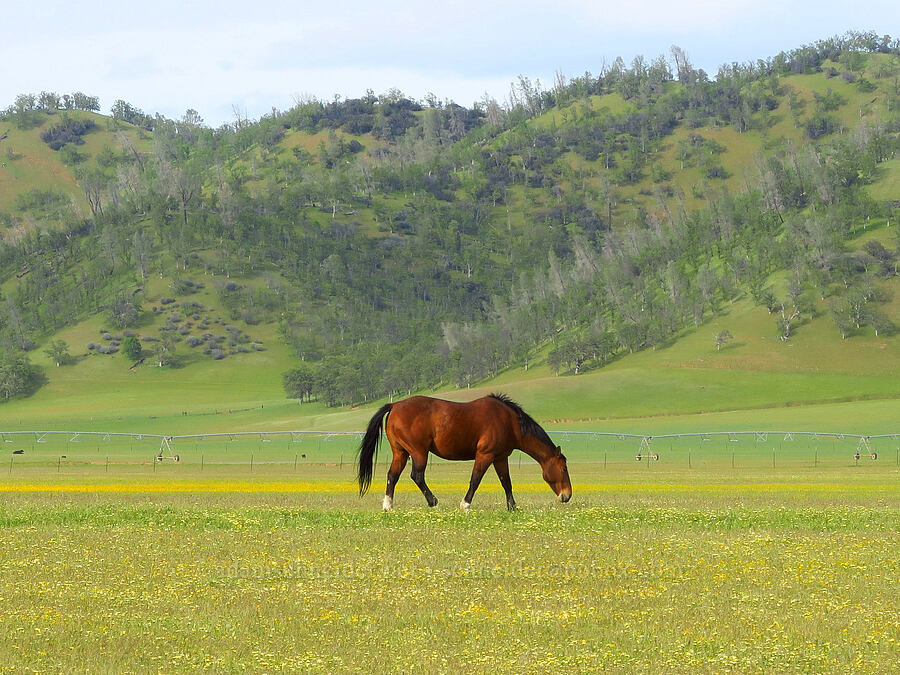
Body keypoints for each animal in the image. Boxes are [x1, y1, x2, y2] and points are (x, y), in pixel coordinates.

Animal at [356, 390, 572, 512]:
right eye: (563, 468)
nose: (567, 495)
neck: (509, 422)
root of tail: (394, 405)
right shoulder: (485, 455)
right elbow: (475, 480)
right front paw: (465, 505)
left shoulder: (500, 458)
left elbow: (506, 483)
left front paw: (513, 507)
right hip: (419, 453)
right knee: (416, 476)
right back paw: (433, 502)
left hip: (401, 453)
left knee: (392, 476)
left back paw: (388, 506)